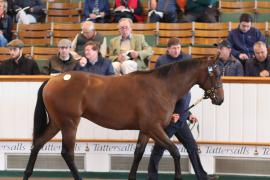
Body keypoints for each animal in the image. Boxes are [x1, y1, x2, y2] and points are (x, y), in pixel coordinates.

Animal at [23, 56, 224, 180]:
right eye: (215, 73)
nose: (220, 99)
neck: (162, 87)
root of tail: (53, 79)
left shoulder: (145, 130)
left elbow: (138, 153)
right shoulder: (154, 128)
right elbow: (174, 151)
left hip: (57, 123)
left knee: (38, 144)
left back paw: (27, 174)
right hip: (69, 123)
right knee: (67, 153)